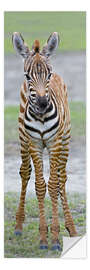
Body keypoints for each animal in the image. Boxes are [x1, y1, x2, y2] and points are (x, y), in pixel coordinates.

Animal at [11, 31, 77, 251]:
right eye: (27, 76)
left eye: (48, 75)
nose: (42, 104)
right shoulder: (34, 144)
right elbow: (40, 186)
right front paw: (43, 237)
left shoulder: (55, 143)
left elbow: (54, 185)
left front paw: (55, 237)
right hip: (23, 140)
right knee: (25, 172)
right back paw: (18, 226)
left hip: (65, 140)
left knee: (62, 178)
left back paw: (71, 227)